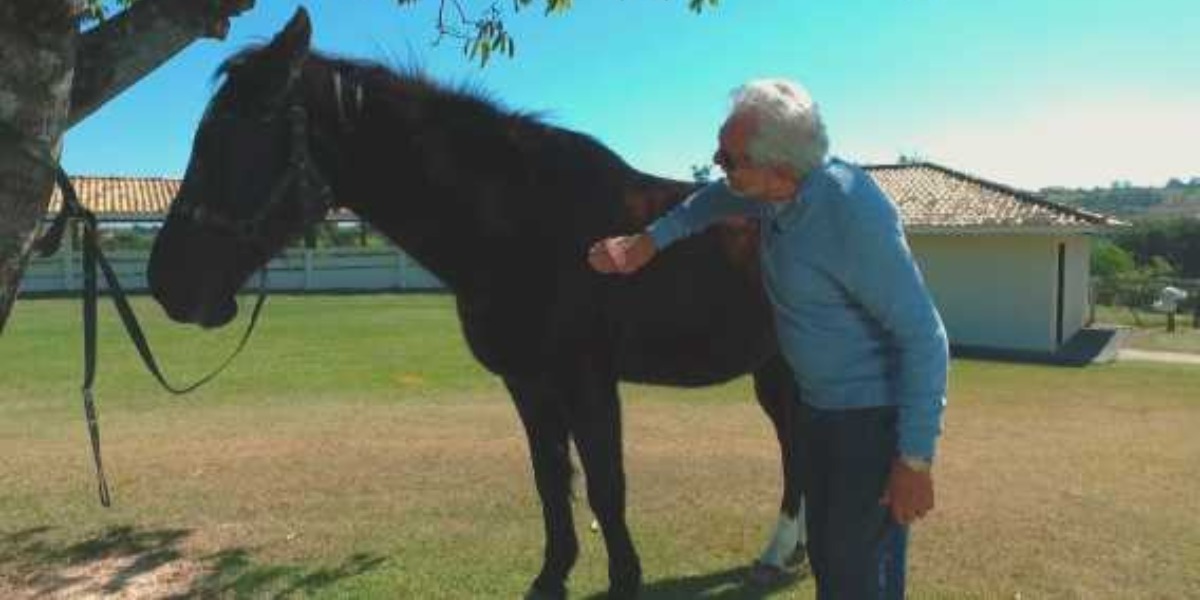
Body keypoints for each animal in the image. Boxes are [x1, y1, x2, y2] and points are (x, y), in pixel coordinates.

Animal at [150, 9, 801, 600]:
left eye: (231, 136)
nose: (166, 282)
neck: (526, 226)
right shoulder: (529, 383)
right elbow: (549, 480)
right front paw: (551, 577)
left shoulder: (586, 381)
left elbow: (605, 486)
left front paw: (622, 581)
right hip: (776, 368)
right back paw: (787, 553)